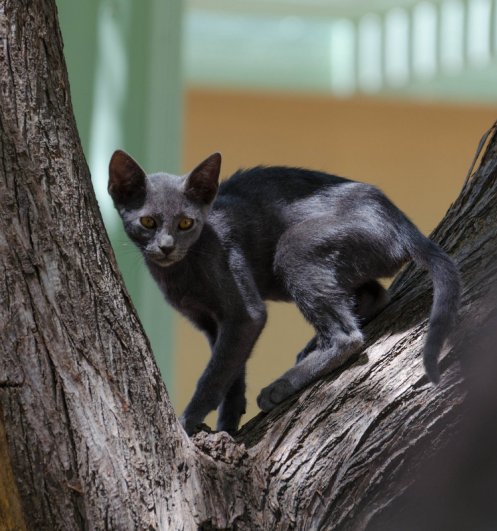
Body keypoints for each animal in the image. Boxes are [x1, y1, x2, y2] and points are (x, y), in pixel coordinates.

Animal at [106, 151, 460, 436]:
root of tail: (399, 220)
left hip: (294, 247)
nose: (166, 247)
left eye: (185, 223)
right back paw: (310, 348)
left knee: (347, 336)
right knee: (372, 296)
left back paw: (281, 386)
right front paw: (227, 427)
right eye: (148, 222)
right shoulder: (213, 324)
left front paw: (187, 424)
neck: (180, 274)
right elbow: (230, 373)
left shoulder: (244, 314)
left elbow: (214, 375)